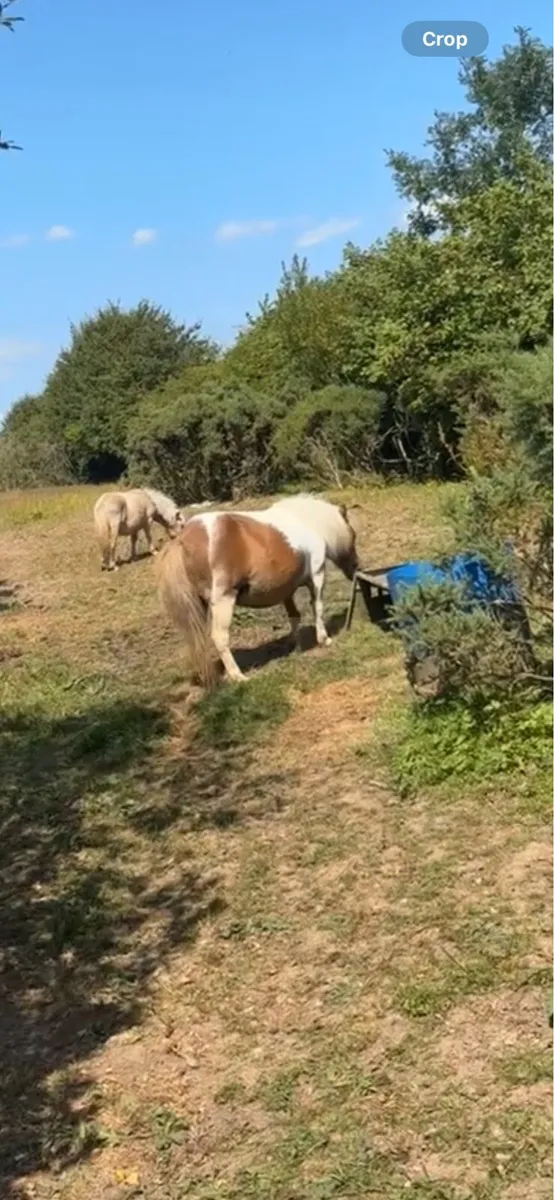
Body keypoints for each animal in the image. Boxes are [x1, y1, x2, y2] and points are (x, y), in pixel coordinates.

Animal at [157, 493, 358, 684]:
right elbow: (317, 607)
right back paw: (238, 676)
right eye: (354, 536)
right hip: (223, 601)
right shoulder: (317, 576)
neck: (306, 522)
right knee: (219, 637)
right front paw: (324, 639)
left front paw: (296, 645)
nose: (355, 568)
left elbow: (294, 615)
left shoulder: (286, 589)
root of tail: (181, 540)